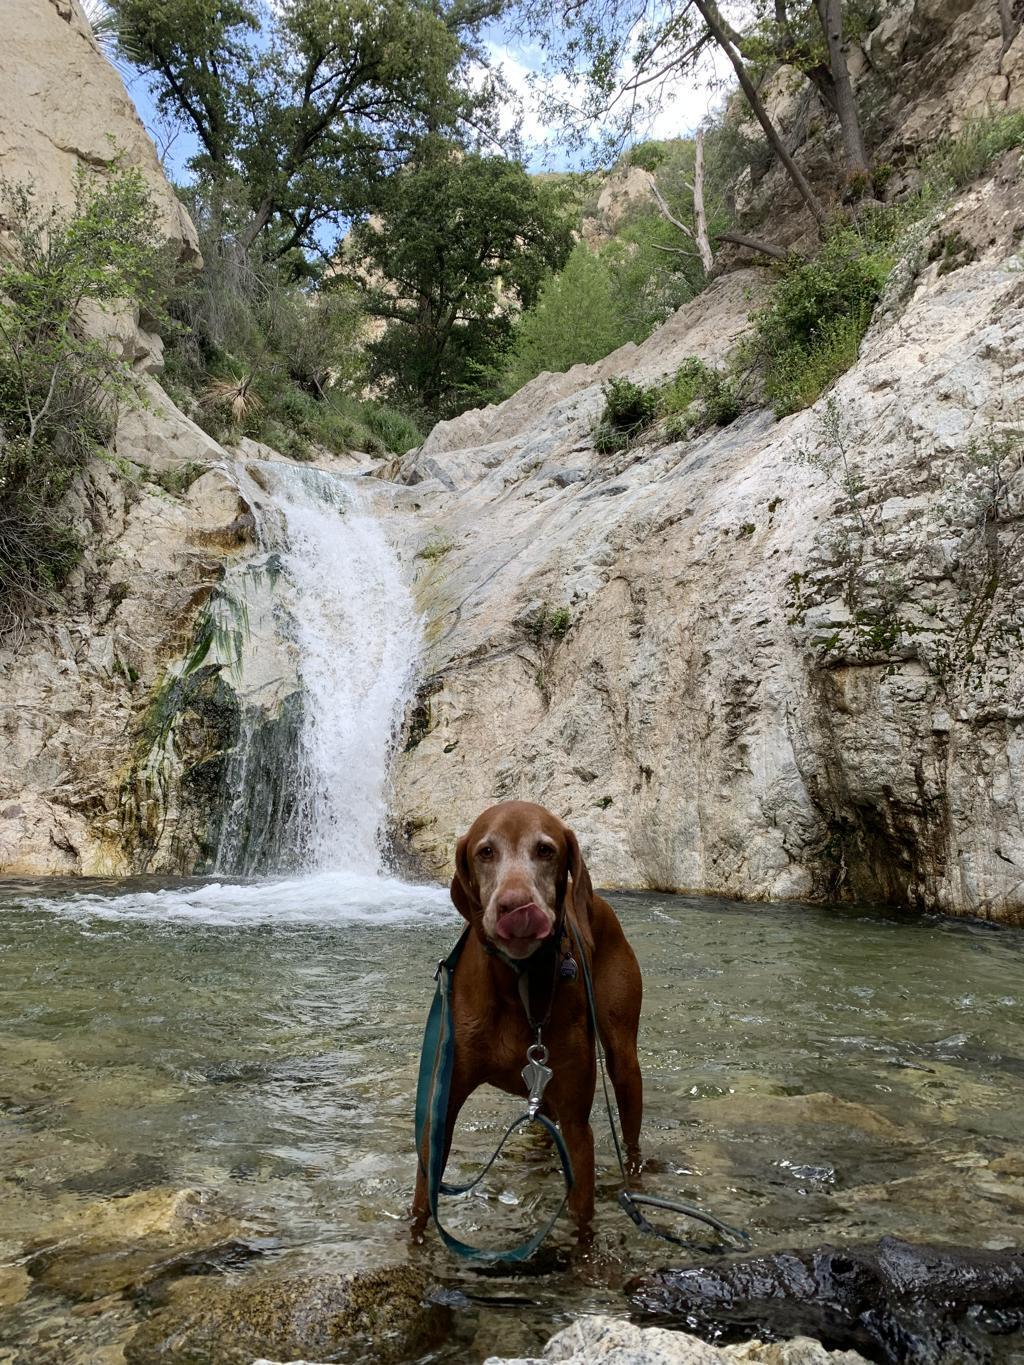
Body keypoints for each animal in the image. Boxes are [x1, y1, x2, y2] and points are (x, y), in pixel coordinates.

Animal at [412, 797, 641, 1239]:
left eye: (546, 850)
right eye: (485, 851)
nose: (516, 907)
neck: (515, 986)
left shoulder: (577, 1123)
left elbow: (582, 1220)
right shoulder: (440, 1110)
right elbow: (421, 1205)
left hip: (622, 1060)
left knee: (632, 1137)